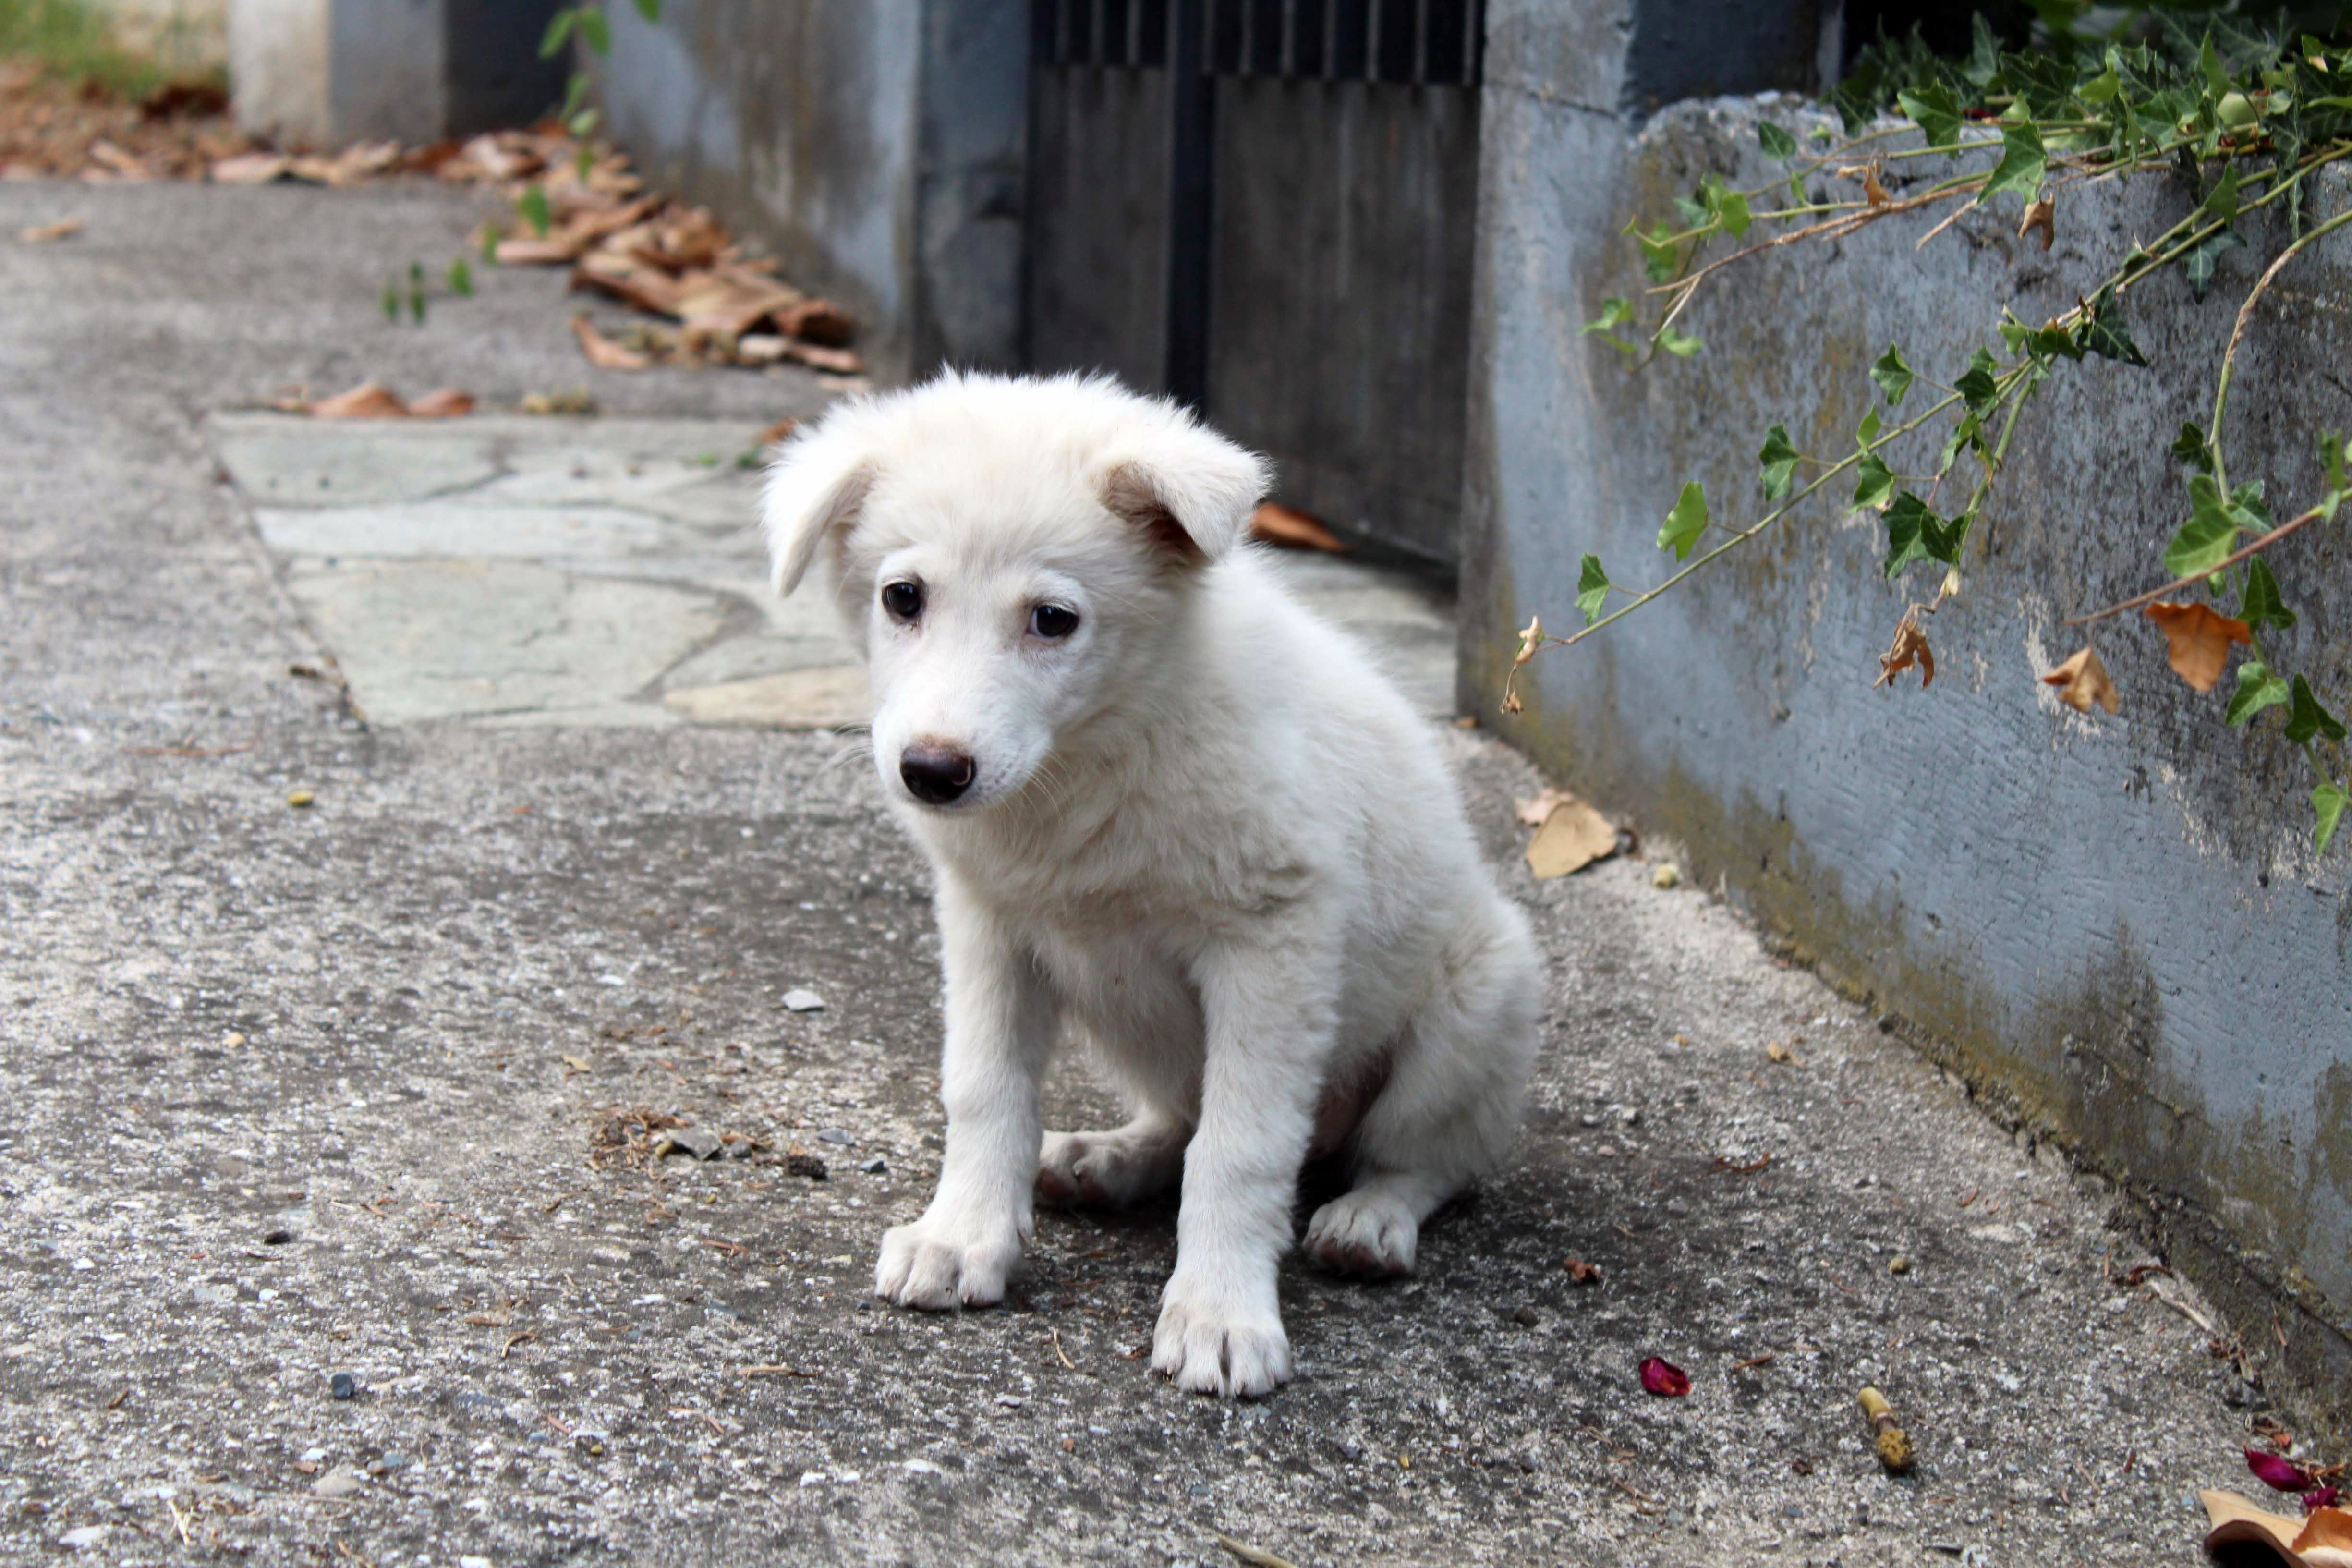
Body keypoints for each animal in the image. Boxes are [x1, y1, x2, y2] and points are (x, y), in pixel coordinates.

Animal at [766, 371, 1543, 1401]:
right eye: (902, 598)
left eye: (1053, 620)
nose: (932, 773)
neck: (1094, 754)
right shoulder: (989, 926)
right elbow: (984, 1089)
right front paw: (961, 1234)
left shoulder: (1273, 941)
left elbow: (1240, 1146)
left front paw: (1218, 1311)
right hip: (1135, 1030)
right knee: (1179, 1119)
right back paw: (1108, 1159)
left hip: (1477, 1004)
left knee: (1427, 1158)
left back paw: (1370, 1219)